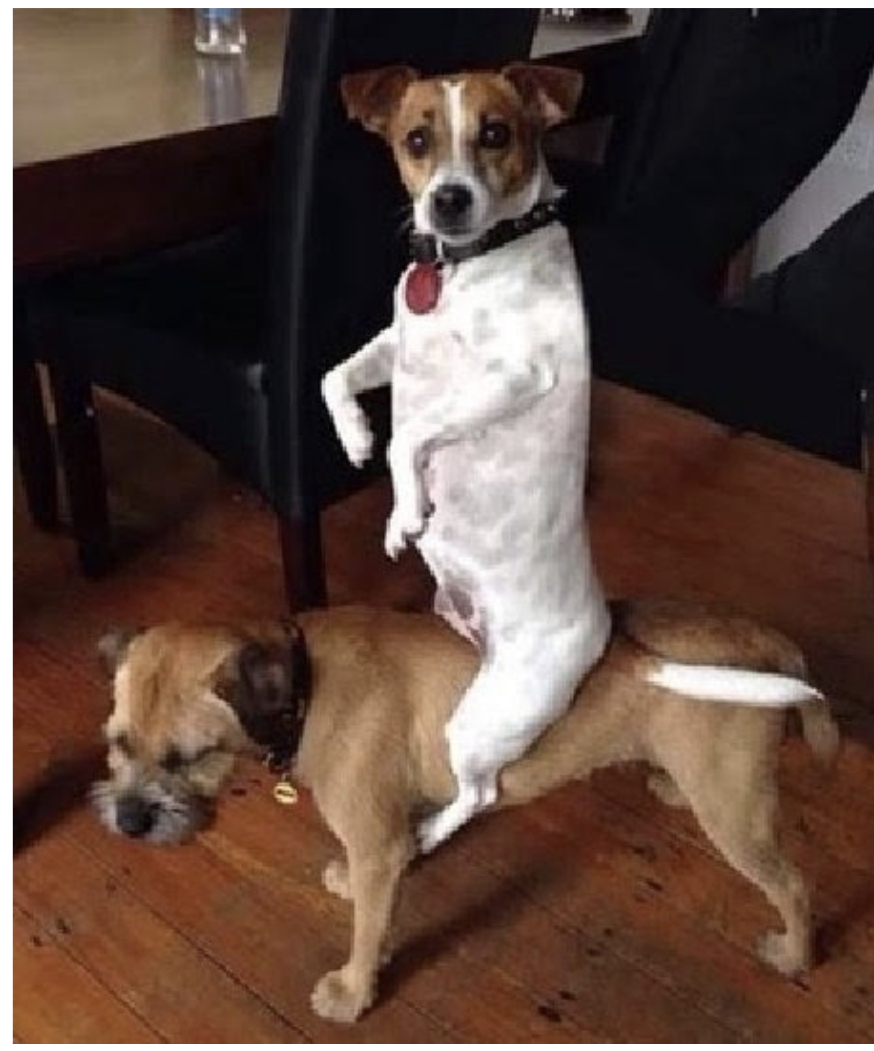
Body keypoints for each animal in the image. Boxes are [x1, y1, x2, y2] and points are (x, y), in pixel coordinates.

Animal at [93, 600, 837, 1024]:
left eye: (188, 757)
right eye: (118, 743)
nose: (128, 823)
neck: (304, 682)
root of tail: (765, 640)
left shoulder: (379, 847)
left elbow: (368, 930)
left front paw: (353, 992)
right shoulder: (390, 832)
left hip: (737, 813)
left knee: (796, 886)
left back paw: (796, 955)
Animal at [321, 63, 612, 853]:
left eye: (496, 133)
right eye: (416, 140)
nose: (447, 200)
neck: (465, 268)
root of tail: (602, 627)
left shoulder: (514, 377)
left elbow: (411, 435)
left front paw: (406, 511)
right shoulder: (396, 344)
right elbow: (335, 378)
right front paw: (354, 436)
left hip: (488, 721)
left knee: (481, 792)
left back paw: (427, 835)